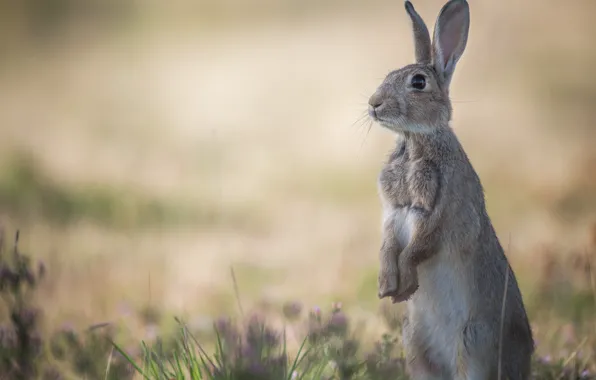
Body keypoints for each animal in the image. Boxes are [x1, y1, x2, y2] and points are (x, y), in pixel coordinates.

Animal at [368, 1, 536, 378]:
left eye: (418, 82)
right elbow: (387, 245)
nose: (373, 103)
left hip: (475, 343)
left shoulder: (439, 210)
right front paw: (386, 287)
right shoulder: (392, 213)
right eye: (388, 74)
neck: (416, 140)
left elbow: (418, 248)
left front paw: (406, 284)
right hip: (416, 345)